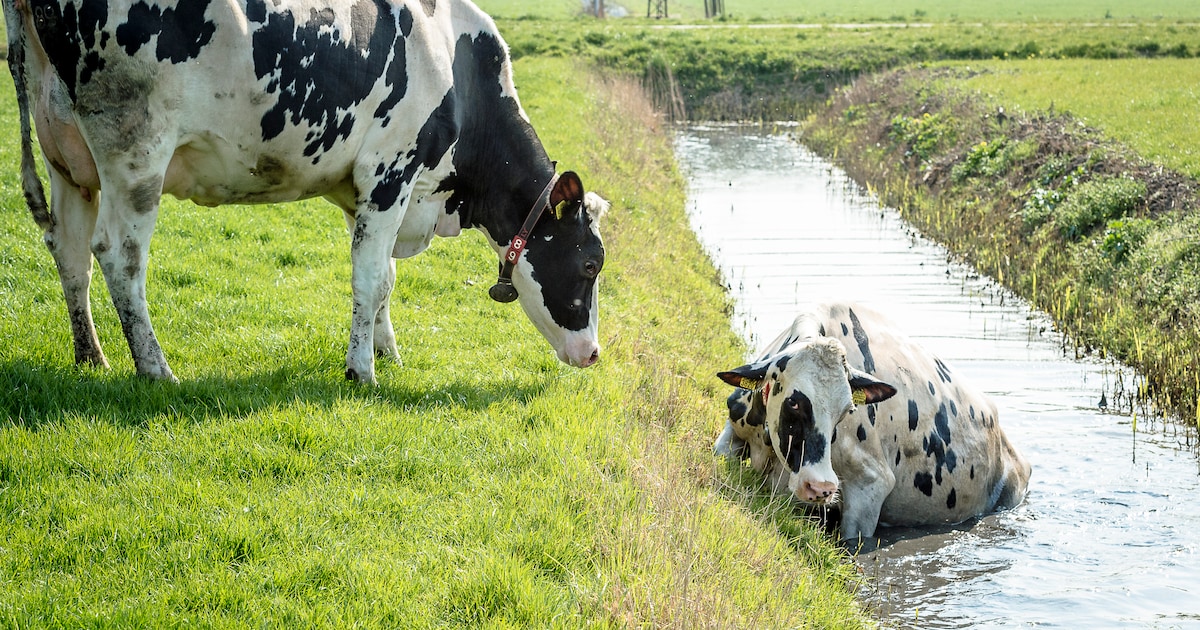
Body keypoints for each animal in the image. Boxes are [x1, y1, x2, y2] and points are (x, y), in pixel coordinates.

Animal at [3, 0, 607, 384]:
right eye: (590, 265)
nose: (594, 354)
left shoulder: (364, 189)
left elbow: (384, 279)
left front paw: (387, 351)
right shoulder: (390, 171)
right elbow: (369, 276)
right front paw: (362, 371)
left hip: (68, 160)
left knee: (71, 254)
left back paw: (91, 356)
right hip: (135, 149)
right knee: (119, 258)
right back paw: (156, 369)